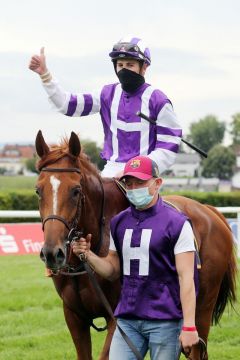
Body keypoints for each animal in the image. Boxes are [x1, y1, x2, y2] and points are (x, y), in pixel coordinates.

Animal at [35, 131, 236, 360]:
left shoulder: (117, 318)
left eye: (76, 190)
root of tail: (211, 211)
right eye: (38, 190)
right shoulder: (74, 316)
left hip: (200, 308)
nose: (52, 253)